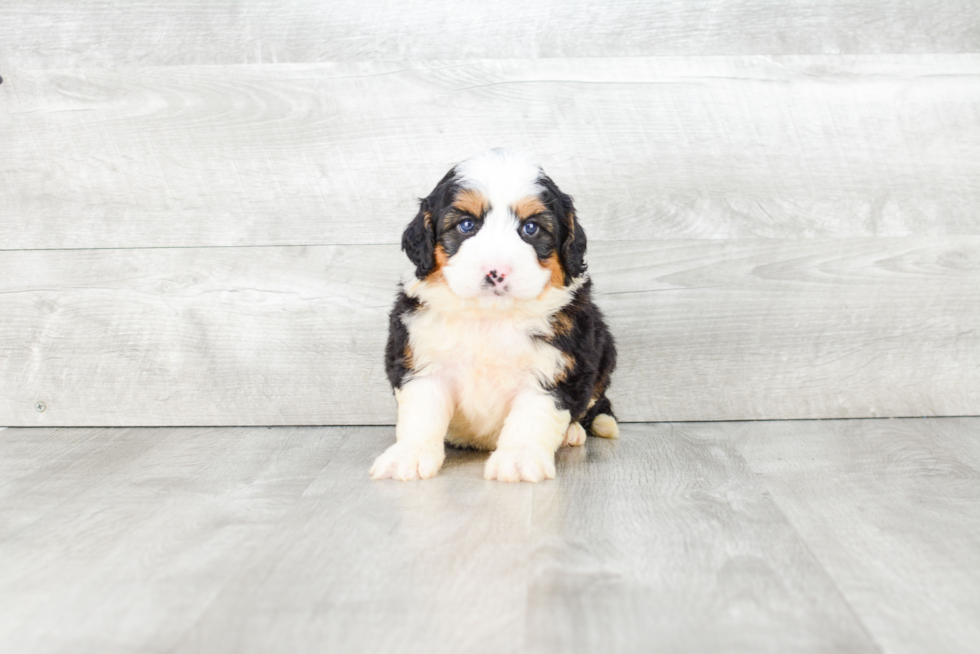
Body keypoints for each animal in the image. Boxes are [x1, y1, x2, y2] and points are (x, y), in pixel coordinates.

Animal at [372, 151, 616, 484]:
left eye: (531, 228)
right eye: (466, 225)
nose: (496, 271)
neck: (490, 317)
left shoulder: (555, 368)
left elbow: (532, 417)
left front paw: (518, 460)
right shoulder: (422, 361)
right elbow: (422, 414)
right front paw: (408, 456)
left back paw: (574, 432)